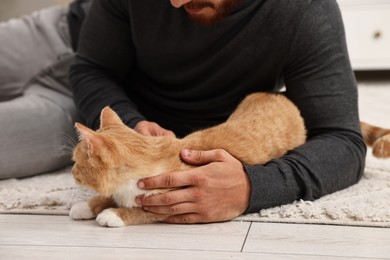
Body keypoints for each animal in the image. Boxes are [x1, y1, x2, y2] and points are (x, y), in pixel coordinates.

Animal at [71, 93, 308, 225]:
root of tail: (275, 94)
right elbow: (107, 197)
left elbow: (142, 212)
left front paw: (113, 214)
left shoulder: (167, 203)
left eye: (75, 162)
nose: (72, 173)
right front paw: (86, 206)